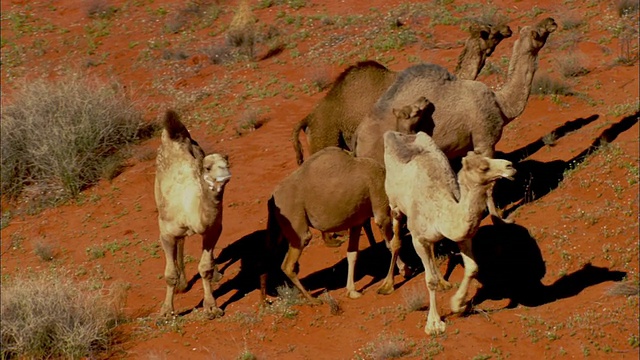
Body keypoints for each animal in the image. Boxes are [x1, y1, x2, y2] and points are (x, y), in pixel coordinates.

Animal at [154, 109, 231, 318]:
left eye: (227, 163)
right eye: (208, 168)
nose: (224, 173)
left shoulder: (213, 229)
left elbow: (205, 268)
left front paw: (211, 307)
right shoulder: (165, 233)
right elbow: (169, 274)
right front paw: (166, 311)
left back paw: (215, 274)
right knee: (180, 242)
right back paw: (183, 284)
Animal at [260, 146, 396, 300]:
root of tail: (272, 198)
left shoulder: (357, 220)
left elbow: (352, 253)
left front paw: (352, 291)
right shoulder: (381, 204)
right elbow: (392, 244)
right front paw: (392, 282)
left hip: (278, 226)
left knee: (268, 256)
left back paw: (266, 300)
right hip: (296, 224)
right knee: (288, 264)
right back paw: (312, 300)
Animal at [362, 18, 556, 222]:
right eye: (538, 32)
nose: (551, 21)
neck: (501, 105)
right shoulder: (485, 141)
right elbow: (490, 184)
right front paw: (498, 216)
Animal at [382, 130, 516, 334]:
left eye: (487, 158)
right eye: (483, 167)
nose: (510, 166)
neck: (440, 211)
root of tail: (394, 134)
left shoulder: (463, 236)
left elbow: (472, 267)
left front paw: (458, 304)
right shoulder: (417, 239)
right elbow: (429, 280)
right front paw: (434, 323)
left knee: (432, 247)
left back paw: (444, 282)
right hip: (394, 204)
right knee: (396, 240)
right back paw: (387, 285)